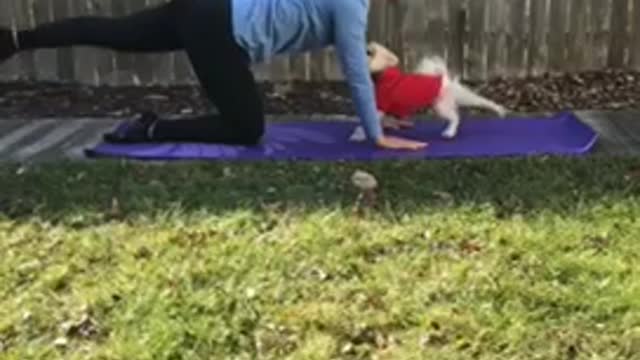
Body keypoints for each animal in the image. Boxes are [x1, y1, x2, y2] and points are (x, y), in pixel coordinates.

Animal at [350, 43, 504, 141]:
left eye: (369, 52)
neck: (384, 74)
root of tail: (445, 80)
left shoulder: (381, 105)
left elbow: (370, 121)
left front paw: (359, 134)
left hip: (441, 106)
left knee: (456, 117)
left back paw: (449, 132)